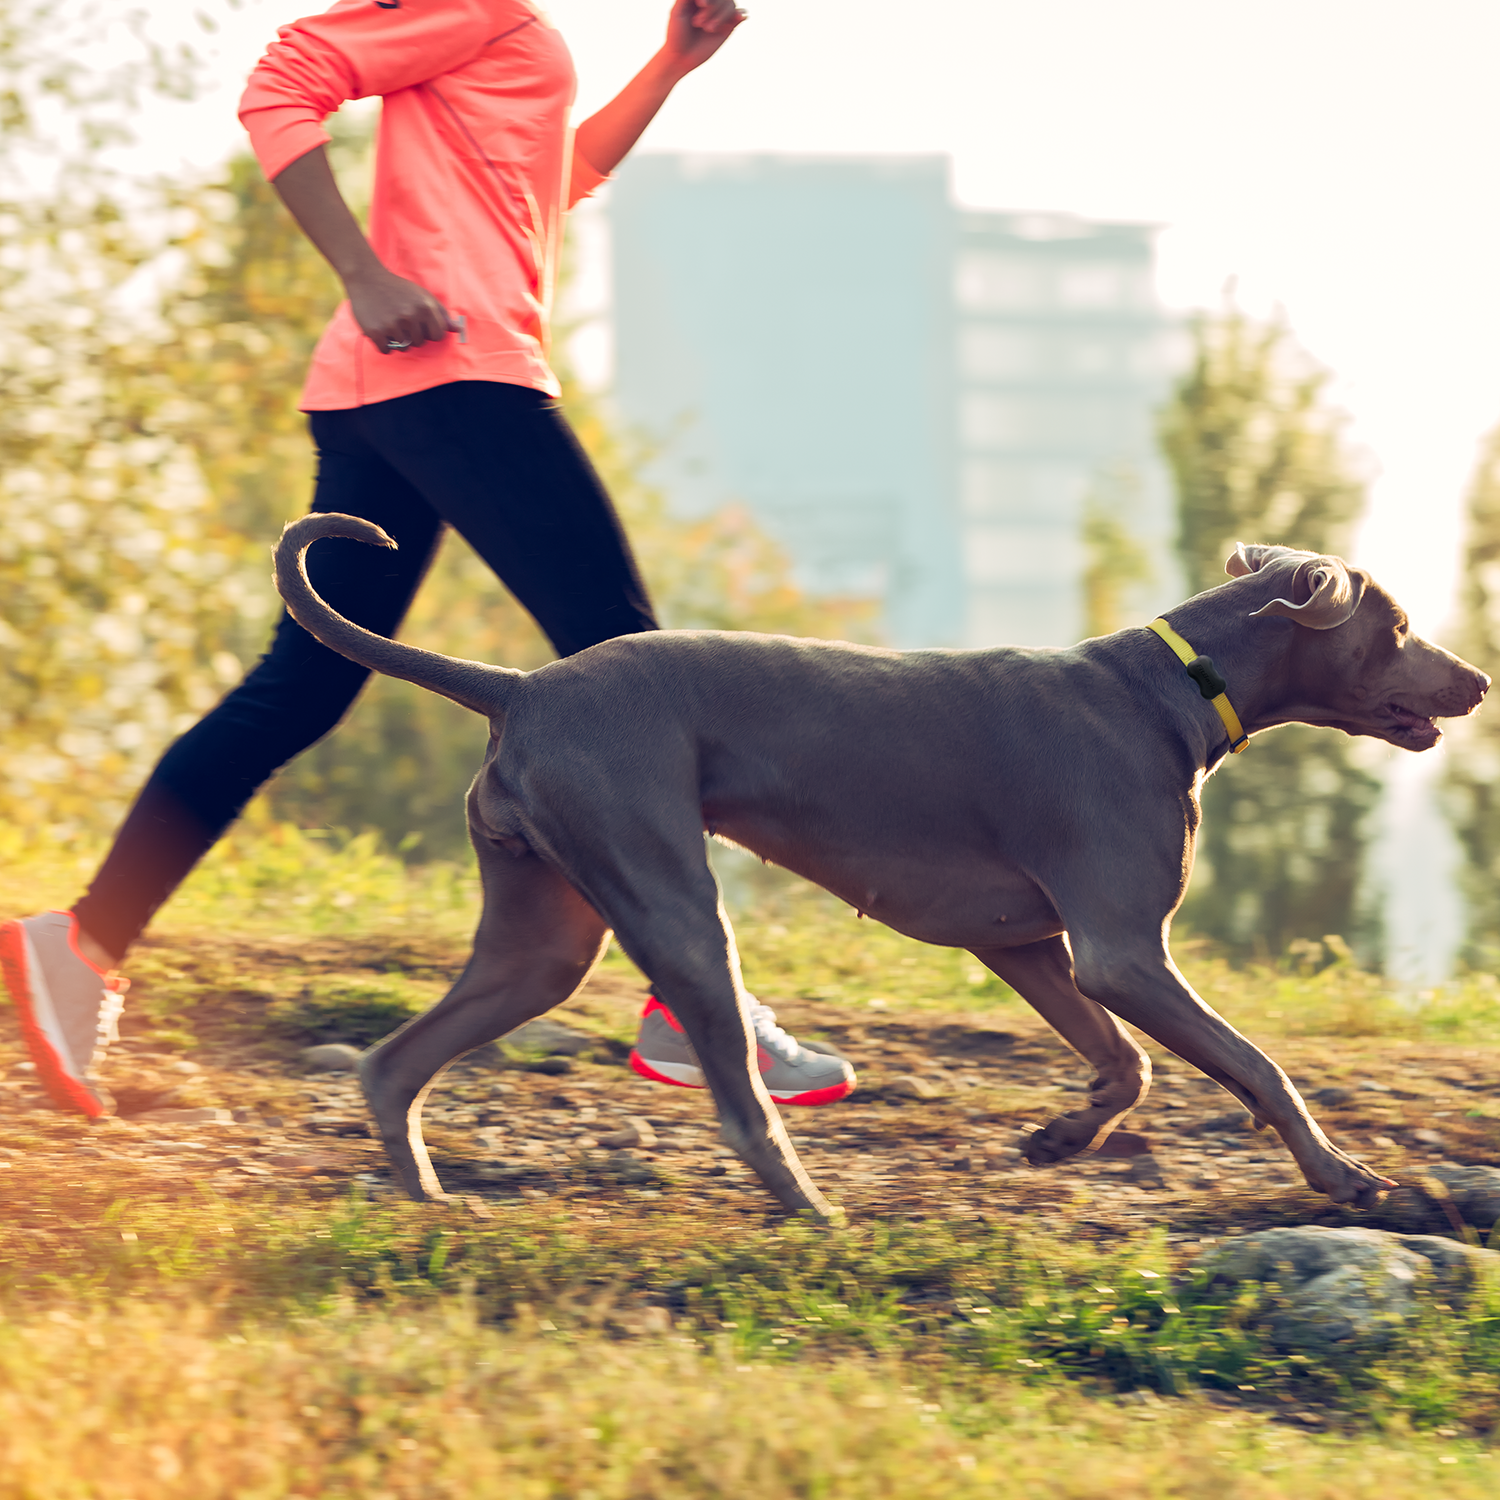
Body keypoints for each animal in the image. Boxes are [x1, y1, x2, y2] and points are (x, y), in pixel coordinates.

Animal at [273, 516, 1488, 1218]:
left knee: (394, 1062)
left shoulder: (1031, 945)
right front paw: (1343, 1177)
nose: (1477, 680)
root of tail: (518, 686)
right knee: (741, 1104)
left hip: (542, 933)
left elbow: (1129, 1065)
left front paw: (1058, 1138)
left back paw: (423, 1195)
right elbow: (1258, 1067)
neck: (1173, 687)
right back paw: (814, 1211)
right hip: (670, 900)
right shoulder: (1120, 951)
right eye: (1399, 624)